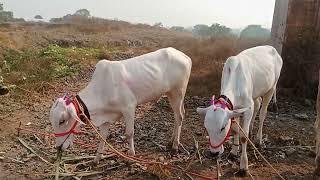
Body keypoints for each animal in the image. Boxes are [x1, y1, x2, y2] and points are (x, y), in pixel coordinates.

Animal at [48, 47, 191, 163]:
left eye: (62, 121)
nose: (58, 147)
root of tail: (185, 56)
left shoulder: (129, 108)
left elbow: (129, 133)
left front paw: (131, 155)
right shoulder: (106, 117)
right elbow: (103, 137)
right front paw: (97, 158)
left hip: (178, 92)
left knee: (179, 117)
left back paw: (175, 146)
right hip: (171, 94)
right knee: (178, 116)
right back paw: (170, 141)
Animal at [195, 45, 282, 176]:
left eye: (222, 128)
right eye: (206, 128)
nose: (214, 153)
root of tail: (273, 49)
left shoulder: (247, 107)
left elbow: (243, 137)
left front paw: (243, 166)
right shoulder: (235, 108)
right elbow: (236, 130)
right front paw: (233, 151)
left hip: (271, 87)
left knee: (263, 112)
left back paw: (258, 140)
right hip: (255, 93)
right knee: (258, 103)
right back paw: (250, 130)